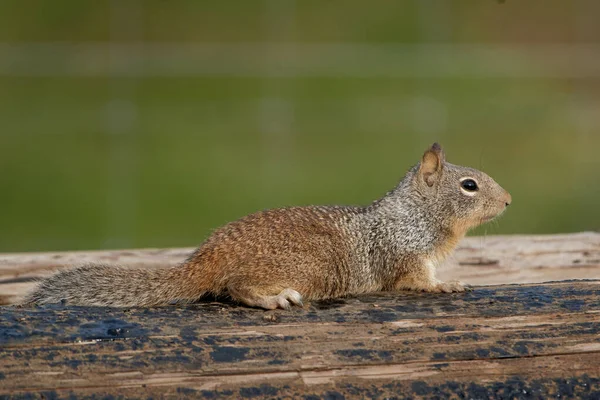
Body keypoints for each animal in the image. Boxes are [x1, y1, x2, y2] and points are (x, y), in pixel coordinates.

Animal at [24, 142, 510, 310]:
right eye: (469, 185)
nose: (508, 200)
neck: (417, 212)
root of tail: (206, 257)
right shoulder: (404, 253)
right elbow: (416, 279)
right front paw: (445, 285)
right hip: (303, 268)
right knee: (234, 289)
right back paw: (274, 298)